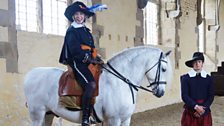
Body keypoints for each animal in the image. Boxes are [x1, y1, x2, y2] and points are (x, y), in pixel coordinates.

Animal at [23, 45, 172, 125]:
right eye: (164, 69)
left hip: (48, 114)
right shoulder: (114, 120)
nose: (161, 92)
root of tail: (30, 74)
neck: (119, 82)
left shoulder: (125, 120)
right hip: (37, 114)